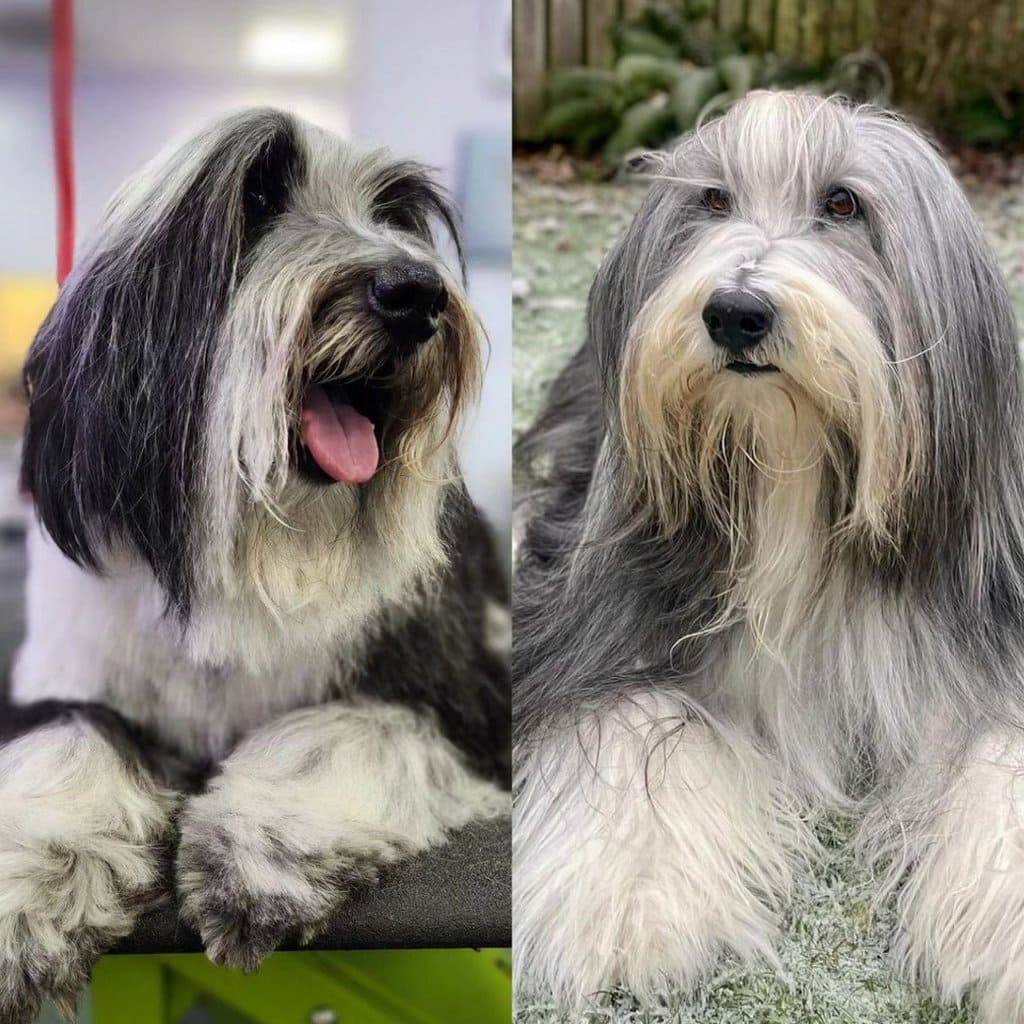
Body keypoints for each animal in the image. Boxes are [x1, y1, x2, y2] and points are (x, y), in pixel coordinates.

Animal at [0, 108, 509, 1019]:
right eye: (261, 198)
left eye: (394, 215)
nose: (415, 294)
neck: (259, 554)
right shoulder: (64, 674)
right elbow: (71, 732)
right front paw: (30, 886)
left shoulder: (465, 702)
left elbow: (348, 727)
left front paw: (259, 855)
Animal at [516, 92, 1024, 1019]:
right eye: (712, 200)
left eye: (844, 205)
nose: (735, 312)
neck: (790, 470)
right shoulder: (592, 615)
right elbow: (633, 718)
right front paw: (633, 900)